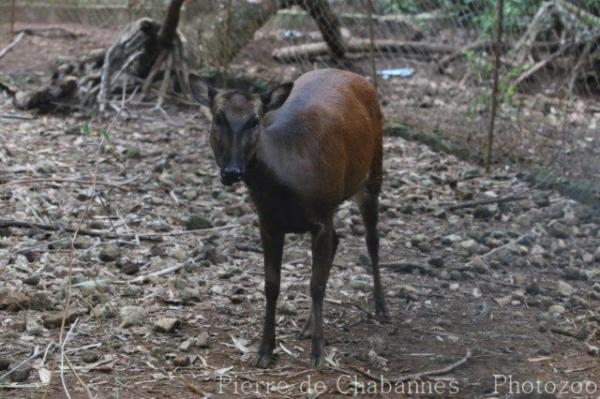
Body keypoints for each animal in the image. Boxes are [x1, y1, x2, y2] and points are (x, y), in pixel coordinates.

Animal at [191, 68, 390, 368]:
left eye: (255, 120)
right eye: (218, 118)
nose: (232, 171)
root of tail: (355, 76)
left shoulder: (322, 215)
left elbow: (316, 285)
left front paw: (318, 354)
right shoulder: (268, 222)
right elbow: (272, 285)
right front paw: (265, 350)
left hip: (373, 171)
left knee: (372, 241)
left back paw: (381, 308)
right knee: (338, 240)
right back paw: (308, 325)